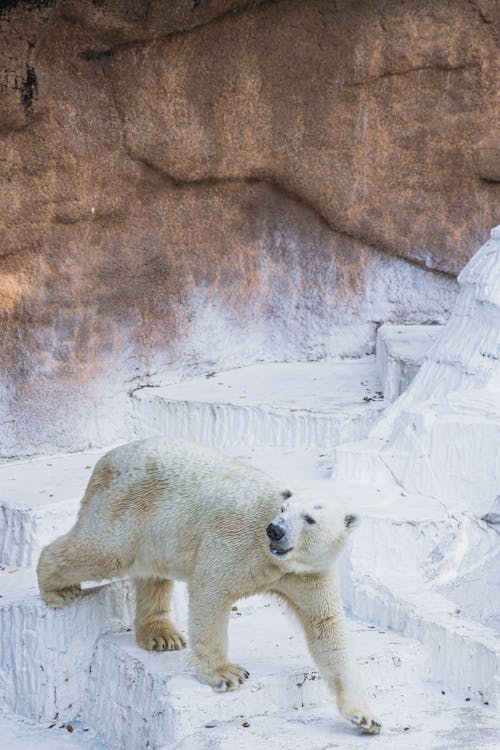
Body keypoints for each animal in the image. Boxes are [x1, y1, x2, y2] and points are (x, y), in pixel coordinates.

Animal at [38, 438, 378, 736]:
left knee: (151, 573)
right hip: (126, 505)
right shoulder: (238, 544)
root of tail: (108, 457)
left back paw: (162, 636)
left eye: (309, 518)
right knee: (104, 550)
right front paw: (226, 674)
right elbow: (212, 592)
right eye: (284, 510)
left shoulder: (310, 574)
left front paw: (366, 718)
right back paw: (57, 587)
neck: (276, 561)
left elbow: (327, 630)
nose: (275, 530)